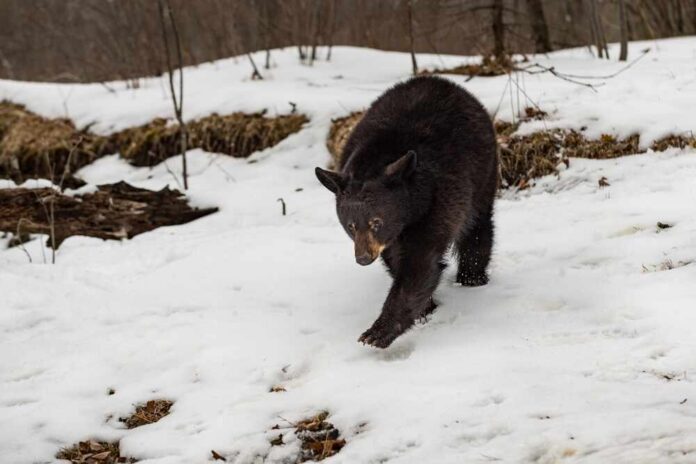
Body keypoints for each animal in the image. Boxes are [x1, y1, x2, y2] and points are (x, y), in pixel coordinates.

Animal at [315, 75, 498, 348]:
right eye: (350, 226)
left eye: (376, 221)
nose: (363, 258)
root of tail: (443, 81)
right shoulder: (390, 238)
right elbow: (397, 260)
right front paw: (426, 308)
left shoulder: (437, 201)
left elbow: (420, 263)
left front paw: (378, 332)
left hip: (483, 173)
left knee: (478, 226)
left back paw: (472, 276)